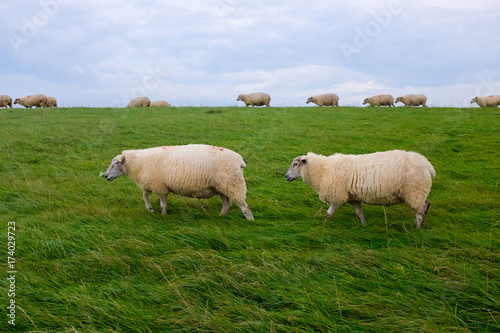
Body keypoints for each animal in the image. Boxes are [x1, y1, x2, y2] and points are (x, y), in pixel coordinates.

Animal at [104, 143, 254, 219]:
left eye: (115, 164)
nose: (105, 176)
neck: (138, 163)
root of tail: (240, 161)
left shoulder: (160, 186)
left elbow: (163, 203)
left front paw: (163, 215)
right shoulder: (151, 184)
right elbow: (144, 195)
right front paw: (150, 208)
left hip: (232, 184)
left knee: (244, 207)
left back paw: (249, 220)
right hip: (222, 187)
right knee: (227, 205)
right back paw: (220, 217)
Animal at [288, 149, 436, 227]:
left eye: (295, 164)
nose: (286, 176)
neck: (322, 170)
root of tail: (429, 166)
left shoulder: (337, 195)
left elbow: (329, 212)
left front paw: (324, 223)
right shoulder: (353, 198)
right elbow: (360, 213)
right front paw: (364, 226)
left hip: (414, 191)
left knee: (422, 208)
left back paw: (418, 226)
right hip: (416, 192)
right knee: (425, 205)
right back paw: (417, 224)